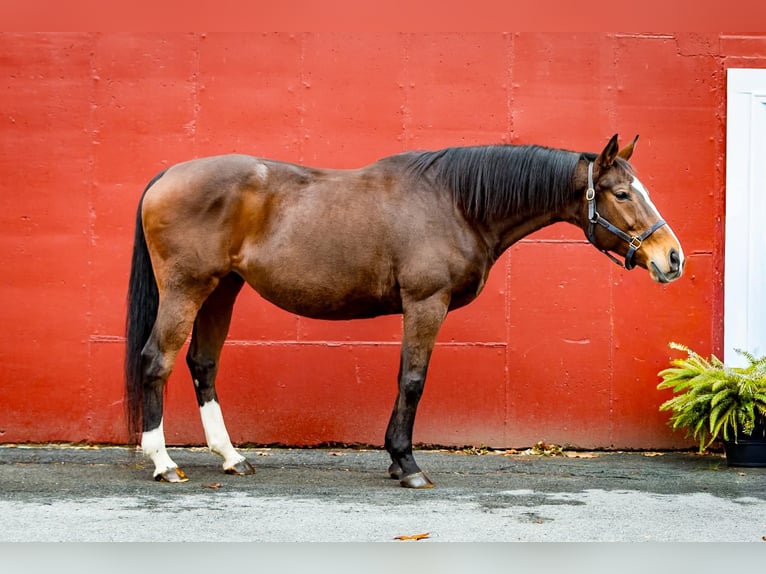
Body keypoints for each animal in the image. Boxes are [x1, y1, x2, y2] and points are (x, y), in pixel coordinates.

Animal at [124, 134, 684, 487]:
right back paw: (163, 462)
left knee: (203, 365)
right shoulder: (425, 304)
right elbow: (412, 380)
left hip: (222, 290)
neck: (456, 202)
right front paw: (407, 464)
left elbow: (405, 380)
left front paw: (397, 461)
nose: (672, 258)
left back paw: (231, 458)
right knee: (157, 362)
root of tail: (167, 175)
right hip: (186, 288)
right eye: (621, 193)